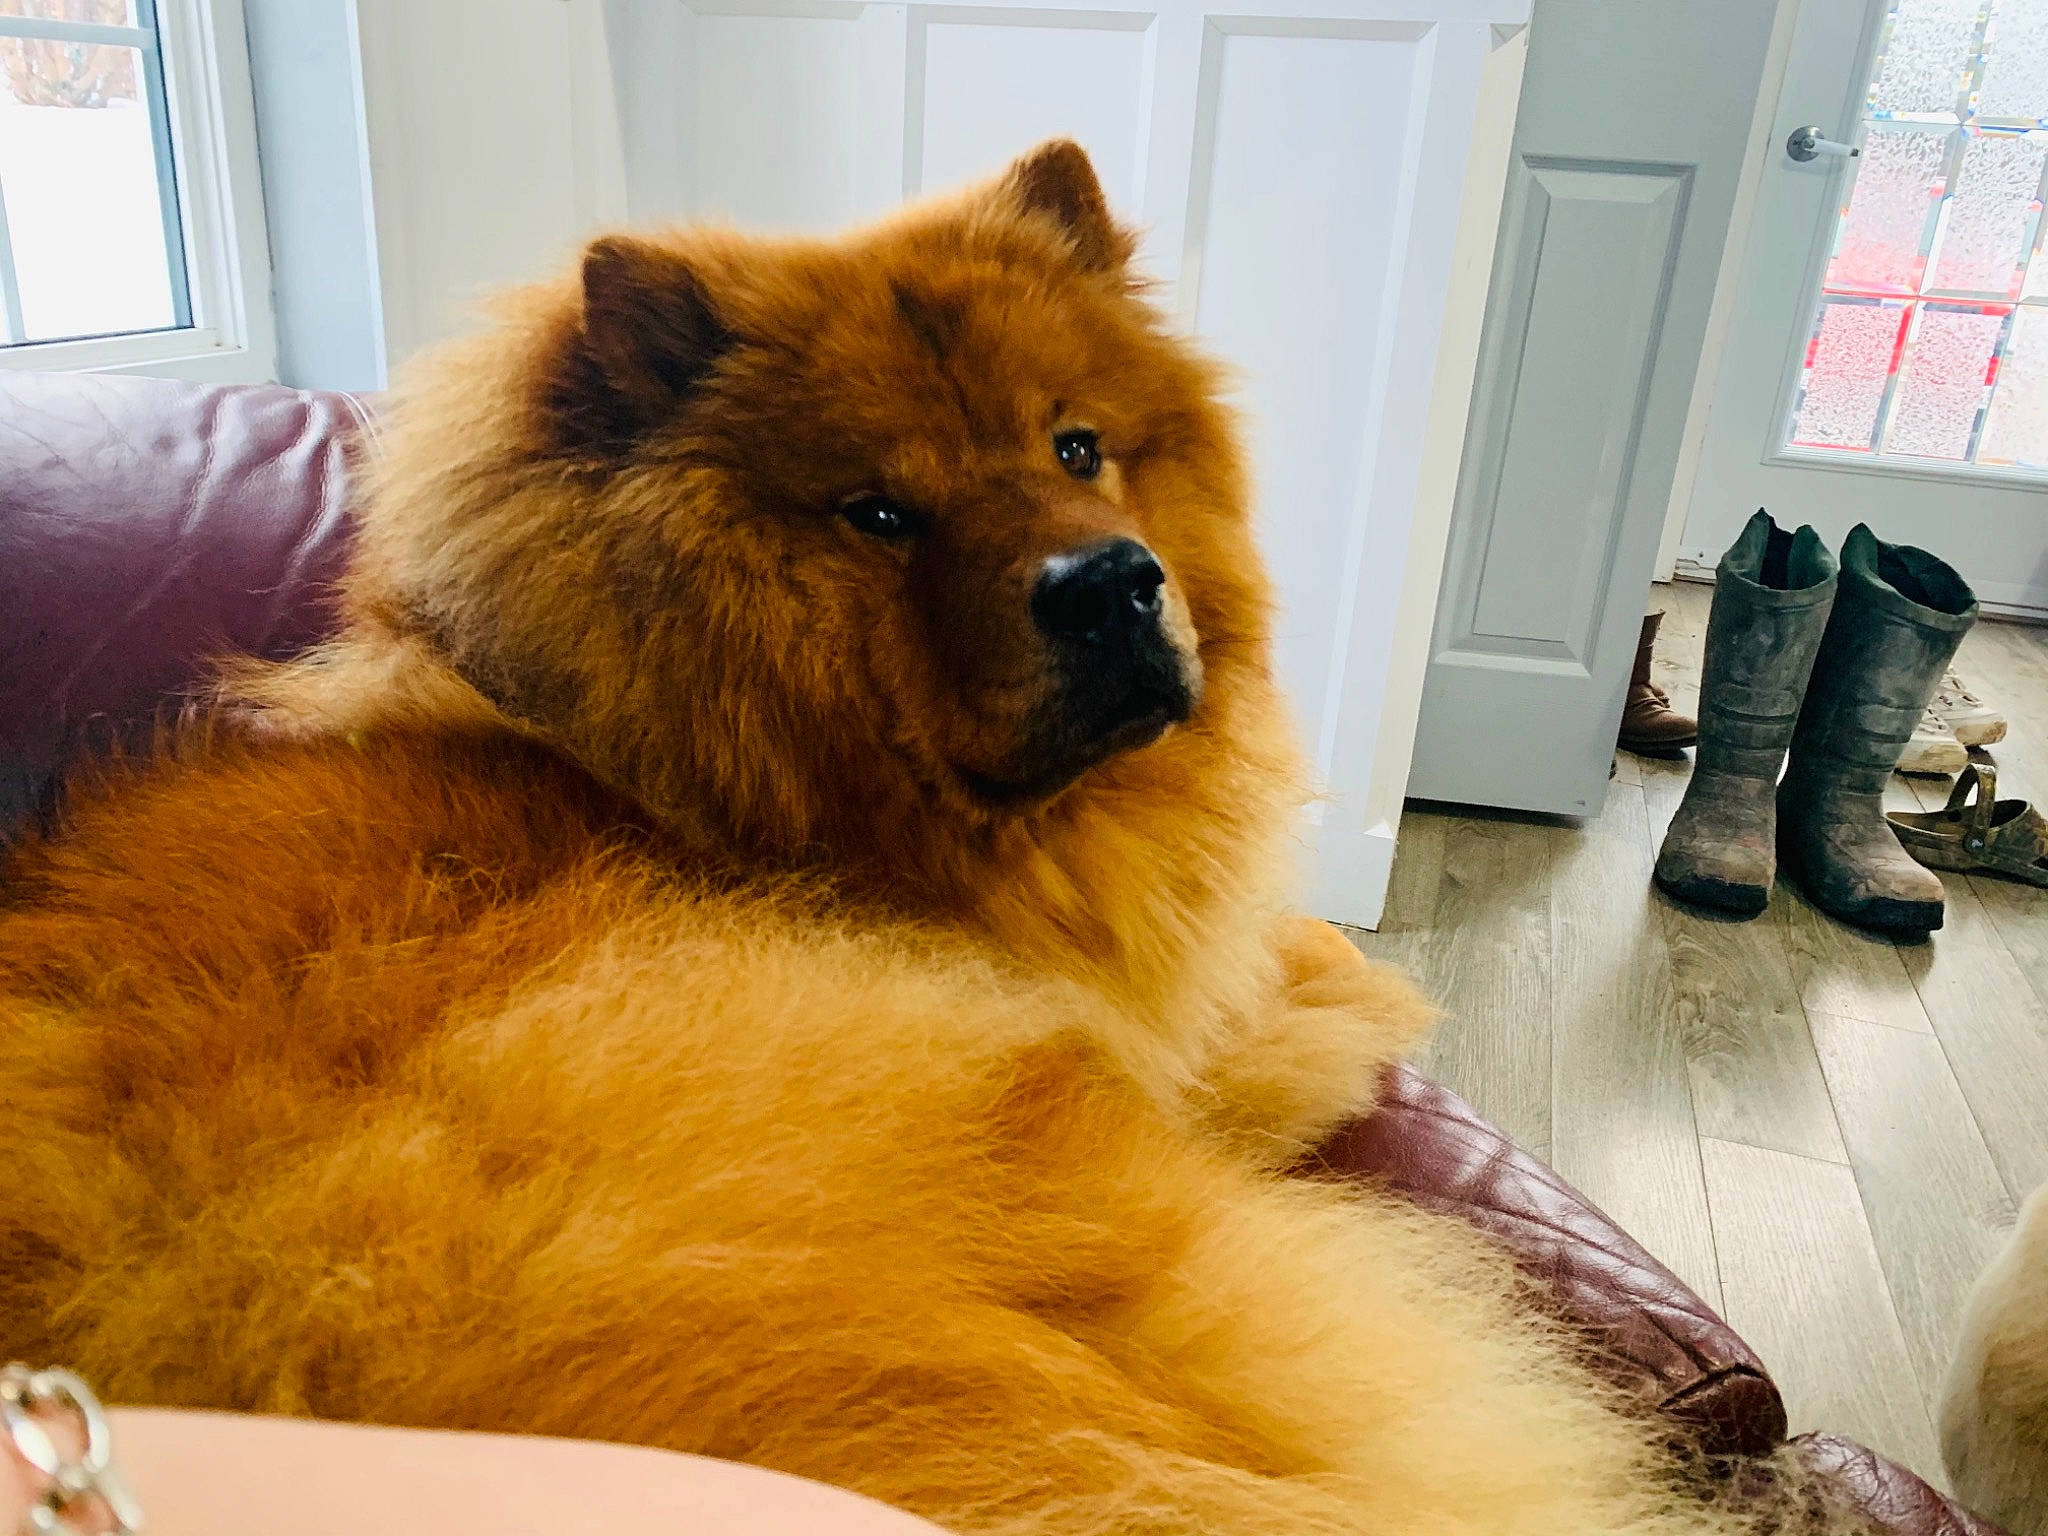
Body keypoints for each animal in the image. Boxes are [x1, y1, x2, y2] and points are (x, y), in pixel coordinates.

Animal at [1, 142, 1848, 1536]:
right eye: (879, 513)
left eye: (1077, 444)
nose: (1110, 582)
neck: (675, 773)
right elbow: (1278, 996)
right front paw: (1339, 985)